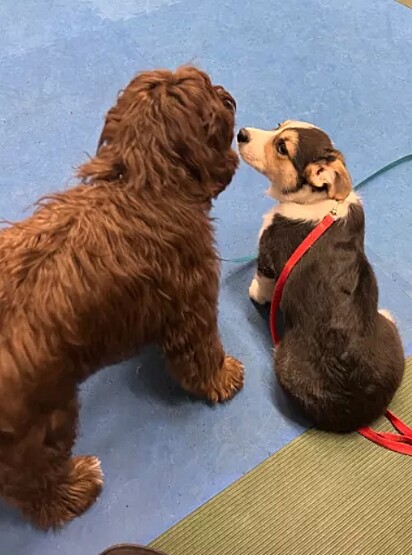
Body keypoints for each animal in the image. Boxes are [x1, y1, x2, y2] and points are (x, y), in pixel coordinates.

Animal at [0, 67, 243, 532]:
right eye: (211, 93)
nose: (227, 94)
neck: (140, 185)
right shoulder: (192, 302)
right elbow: (199, 355)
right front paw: (222, 377)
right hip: (44, 422)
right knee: (34, 486)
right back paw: (76, 490)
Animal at [237, 121, 404, 432]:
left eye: (282, 147)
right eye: (278, 125)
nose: (240, 133)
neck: (318, 200)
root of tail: (358, 413)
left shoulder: (267, 256)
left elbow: (262, 282)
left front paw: (255, 294)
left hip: (283, 359)